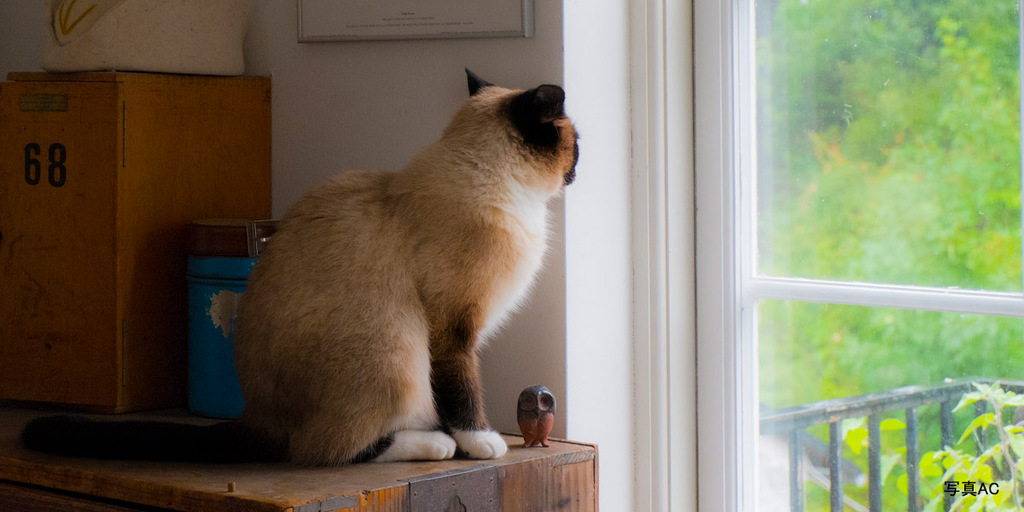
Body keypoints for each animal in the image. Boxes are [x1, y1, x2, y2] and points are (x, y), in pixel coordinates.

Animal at [22, 70, 577, 466]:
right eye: (577, 143)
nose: (578, 170)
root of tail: (255, 415)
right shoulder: (452, 328)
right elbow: (462, 391)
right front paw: (479, 443)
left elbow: (450, 395)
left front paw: (464, 441)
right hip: (397, 345)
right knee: (323, 451)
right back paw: (432, 444)